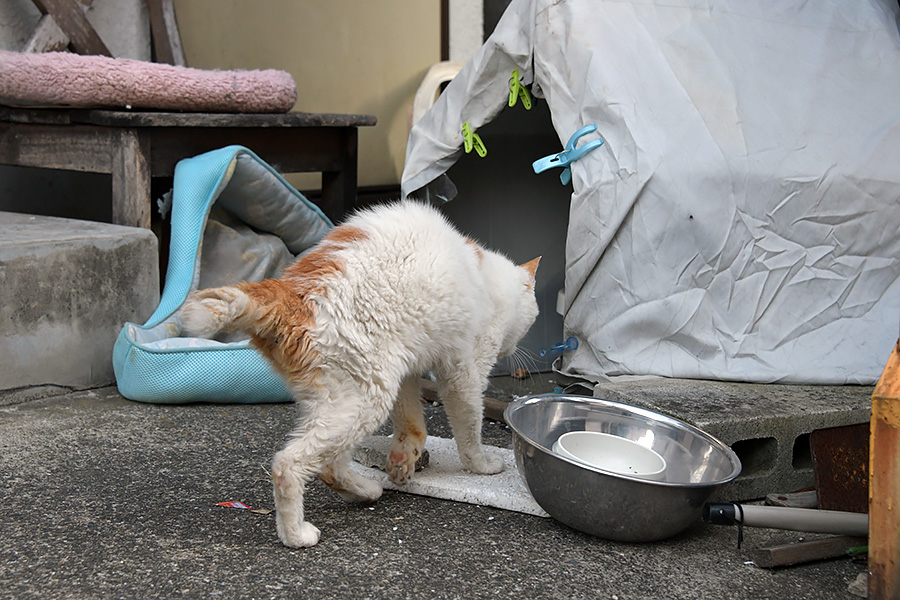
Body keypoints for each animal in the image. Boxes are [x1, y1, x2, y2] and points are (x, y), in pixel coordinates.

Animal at [179, 199, 536, 548]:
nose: (515, 350)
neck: (488, 277)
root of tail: (290, 291)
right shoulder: (463, 373)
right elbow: (470, 427)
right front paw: (481, 465)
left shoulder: (407, 372)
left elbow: (412, 424)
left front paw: (403, 460)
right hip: (364, 399)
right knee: (290, 465)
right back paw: (297, 534)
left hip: (351, 392)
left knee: (328, 465)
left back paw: (366, 490)